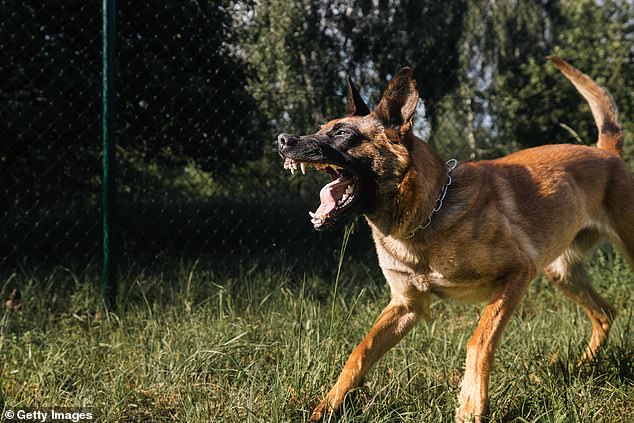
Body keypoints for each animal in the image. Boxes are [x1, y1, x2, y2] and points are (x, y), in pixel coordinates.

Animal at [276, 57, 632, 423]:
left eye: (344, 133)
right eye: (321, 129)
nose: (283, 139)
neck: (426, 215)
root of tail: (606, 152)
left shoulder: (516, 275)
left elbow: (478, 341)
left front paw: (471, 403)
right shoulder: (406, 305)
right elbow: (360, 351)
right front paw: (327, 406)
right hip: (562, 273)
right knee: (605, 313)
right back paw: (583, 365)